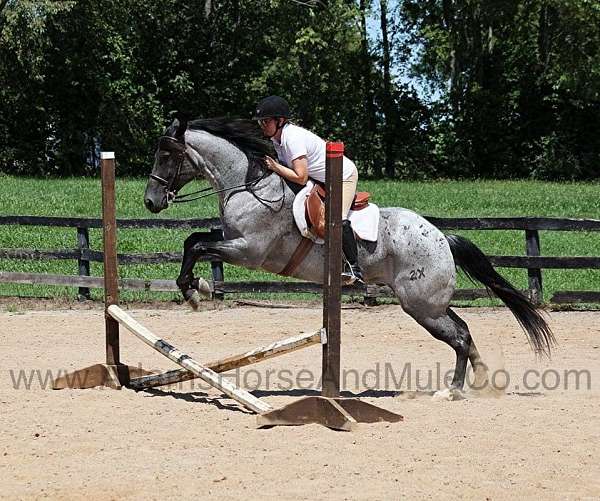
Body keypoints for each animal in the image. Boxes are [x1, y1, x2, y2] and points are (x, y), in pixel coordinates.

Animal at [144, 116, 552, 398]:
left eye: (166, 155)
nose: (150, 201)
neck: (247, 185)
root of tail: (442, 238)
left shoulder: (249, 251)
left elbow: (200, 247)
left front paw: (196, 290)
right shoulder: (231, 239)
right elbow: (194, 240)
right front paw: (192, 287)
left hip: (422, 307)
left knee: (460, 337)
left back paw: (452, 390)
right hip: (429, 303)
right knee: (464, 331)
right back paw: (479, 383)